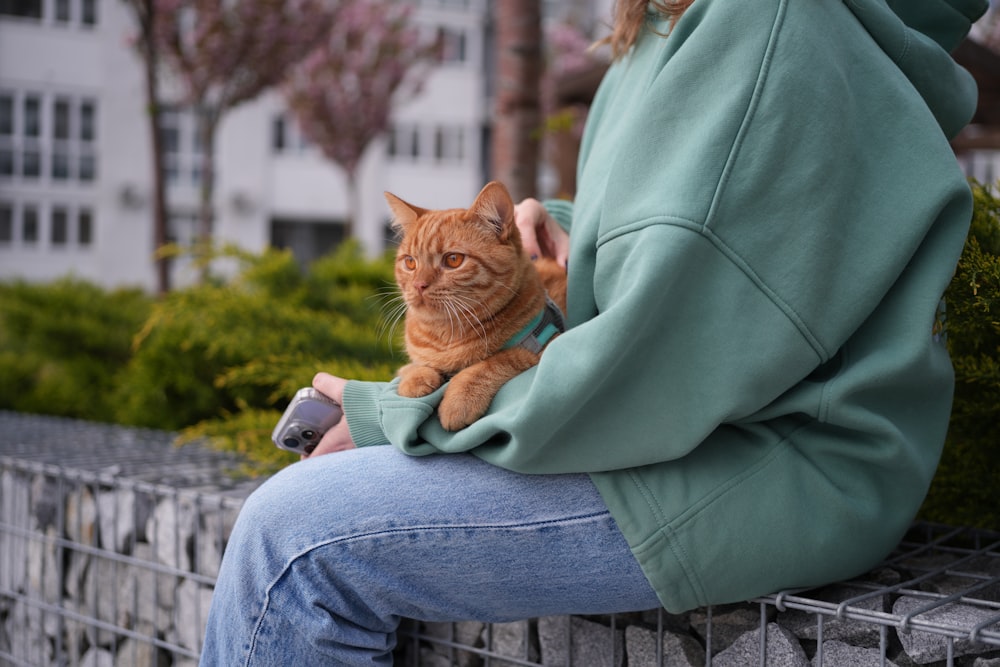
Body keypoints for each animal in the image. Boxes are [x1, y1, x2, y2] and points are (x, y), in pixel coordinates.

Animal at [384, 180, 568, 430]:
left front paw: (459, 400)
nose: (419, 285)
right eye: (410, 262)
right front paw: (416, 377)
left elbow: (497, 360)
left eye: (453, 260)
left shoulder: (546, 344)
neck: (445, 335)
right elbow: (410, 366)